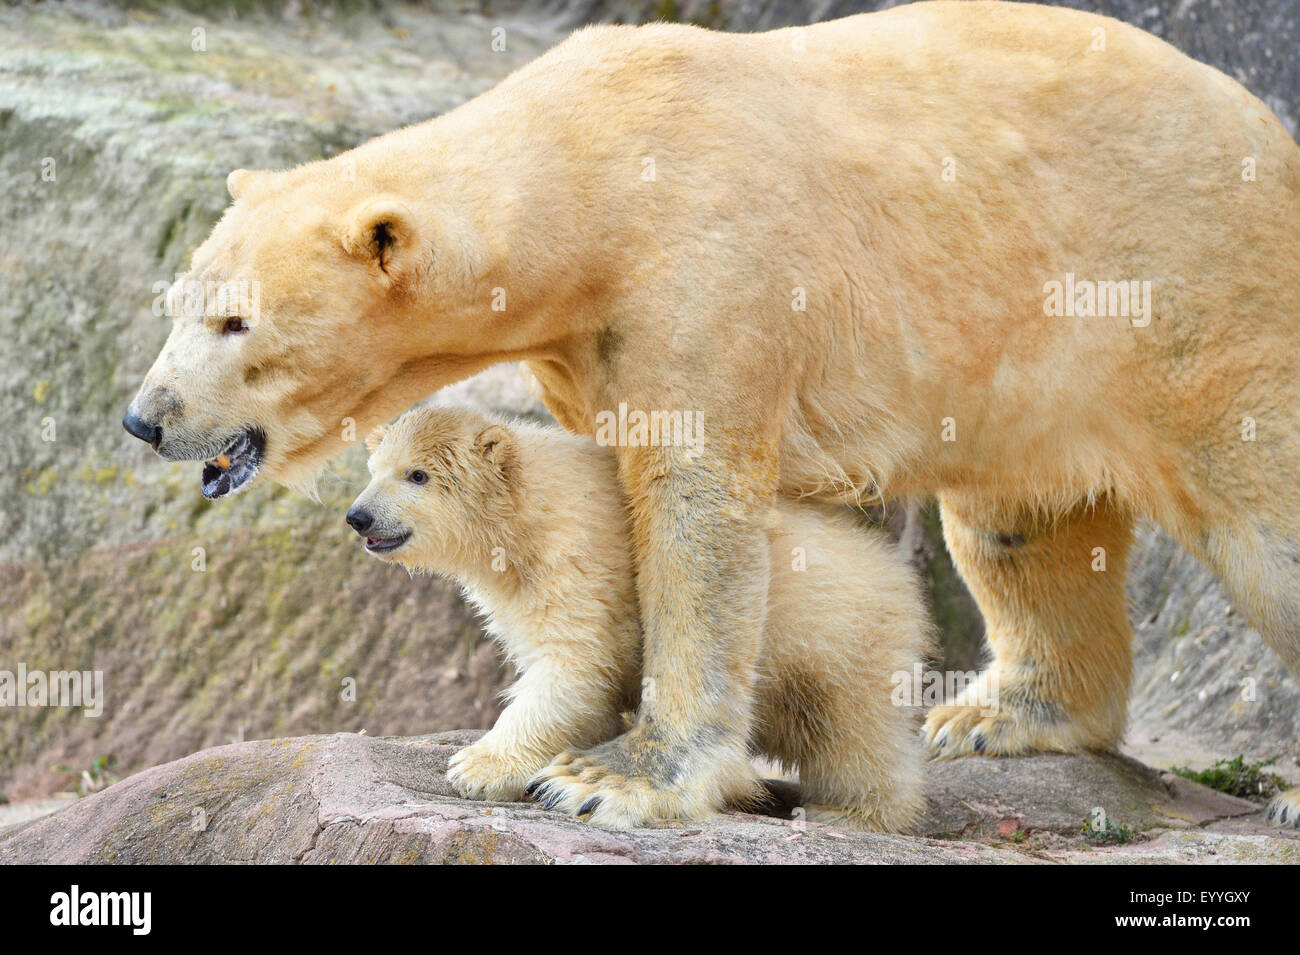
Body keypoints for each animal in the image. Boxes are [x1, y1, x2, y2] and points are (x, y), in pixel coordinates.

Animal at [122, 0, 1300, 826]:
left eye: (234, 319)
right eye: (181, 301)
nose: (145, 417)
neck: (592, 168)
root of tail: (1269, 132)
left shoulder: (706, 273)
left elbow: (694, 514)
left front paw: (610, 778)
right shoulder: (588, 342)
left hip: (1195, 295)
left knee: (1266, 527)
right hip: (1037, 345)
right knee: (1019, 525)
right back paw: (995, 713)